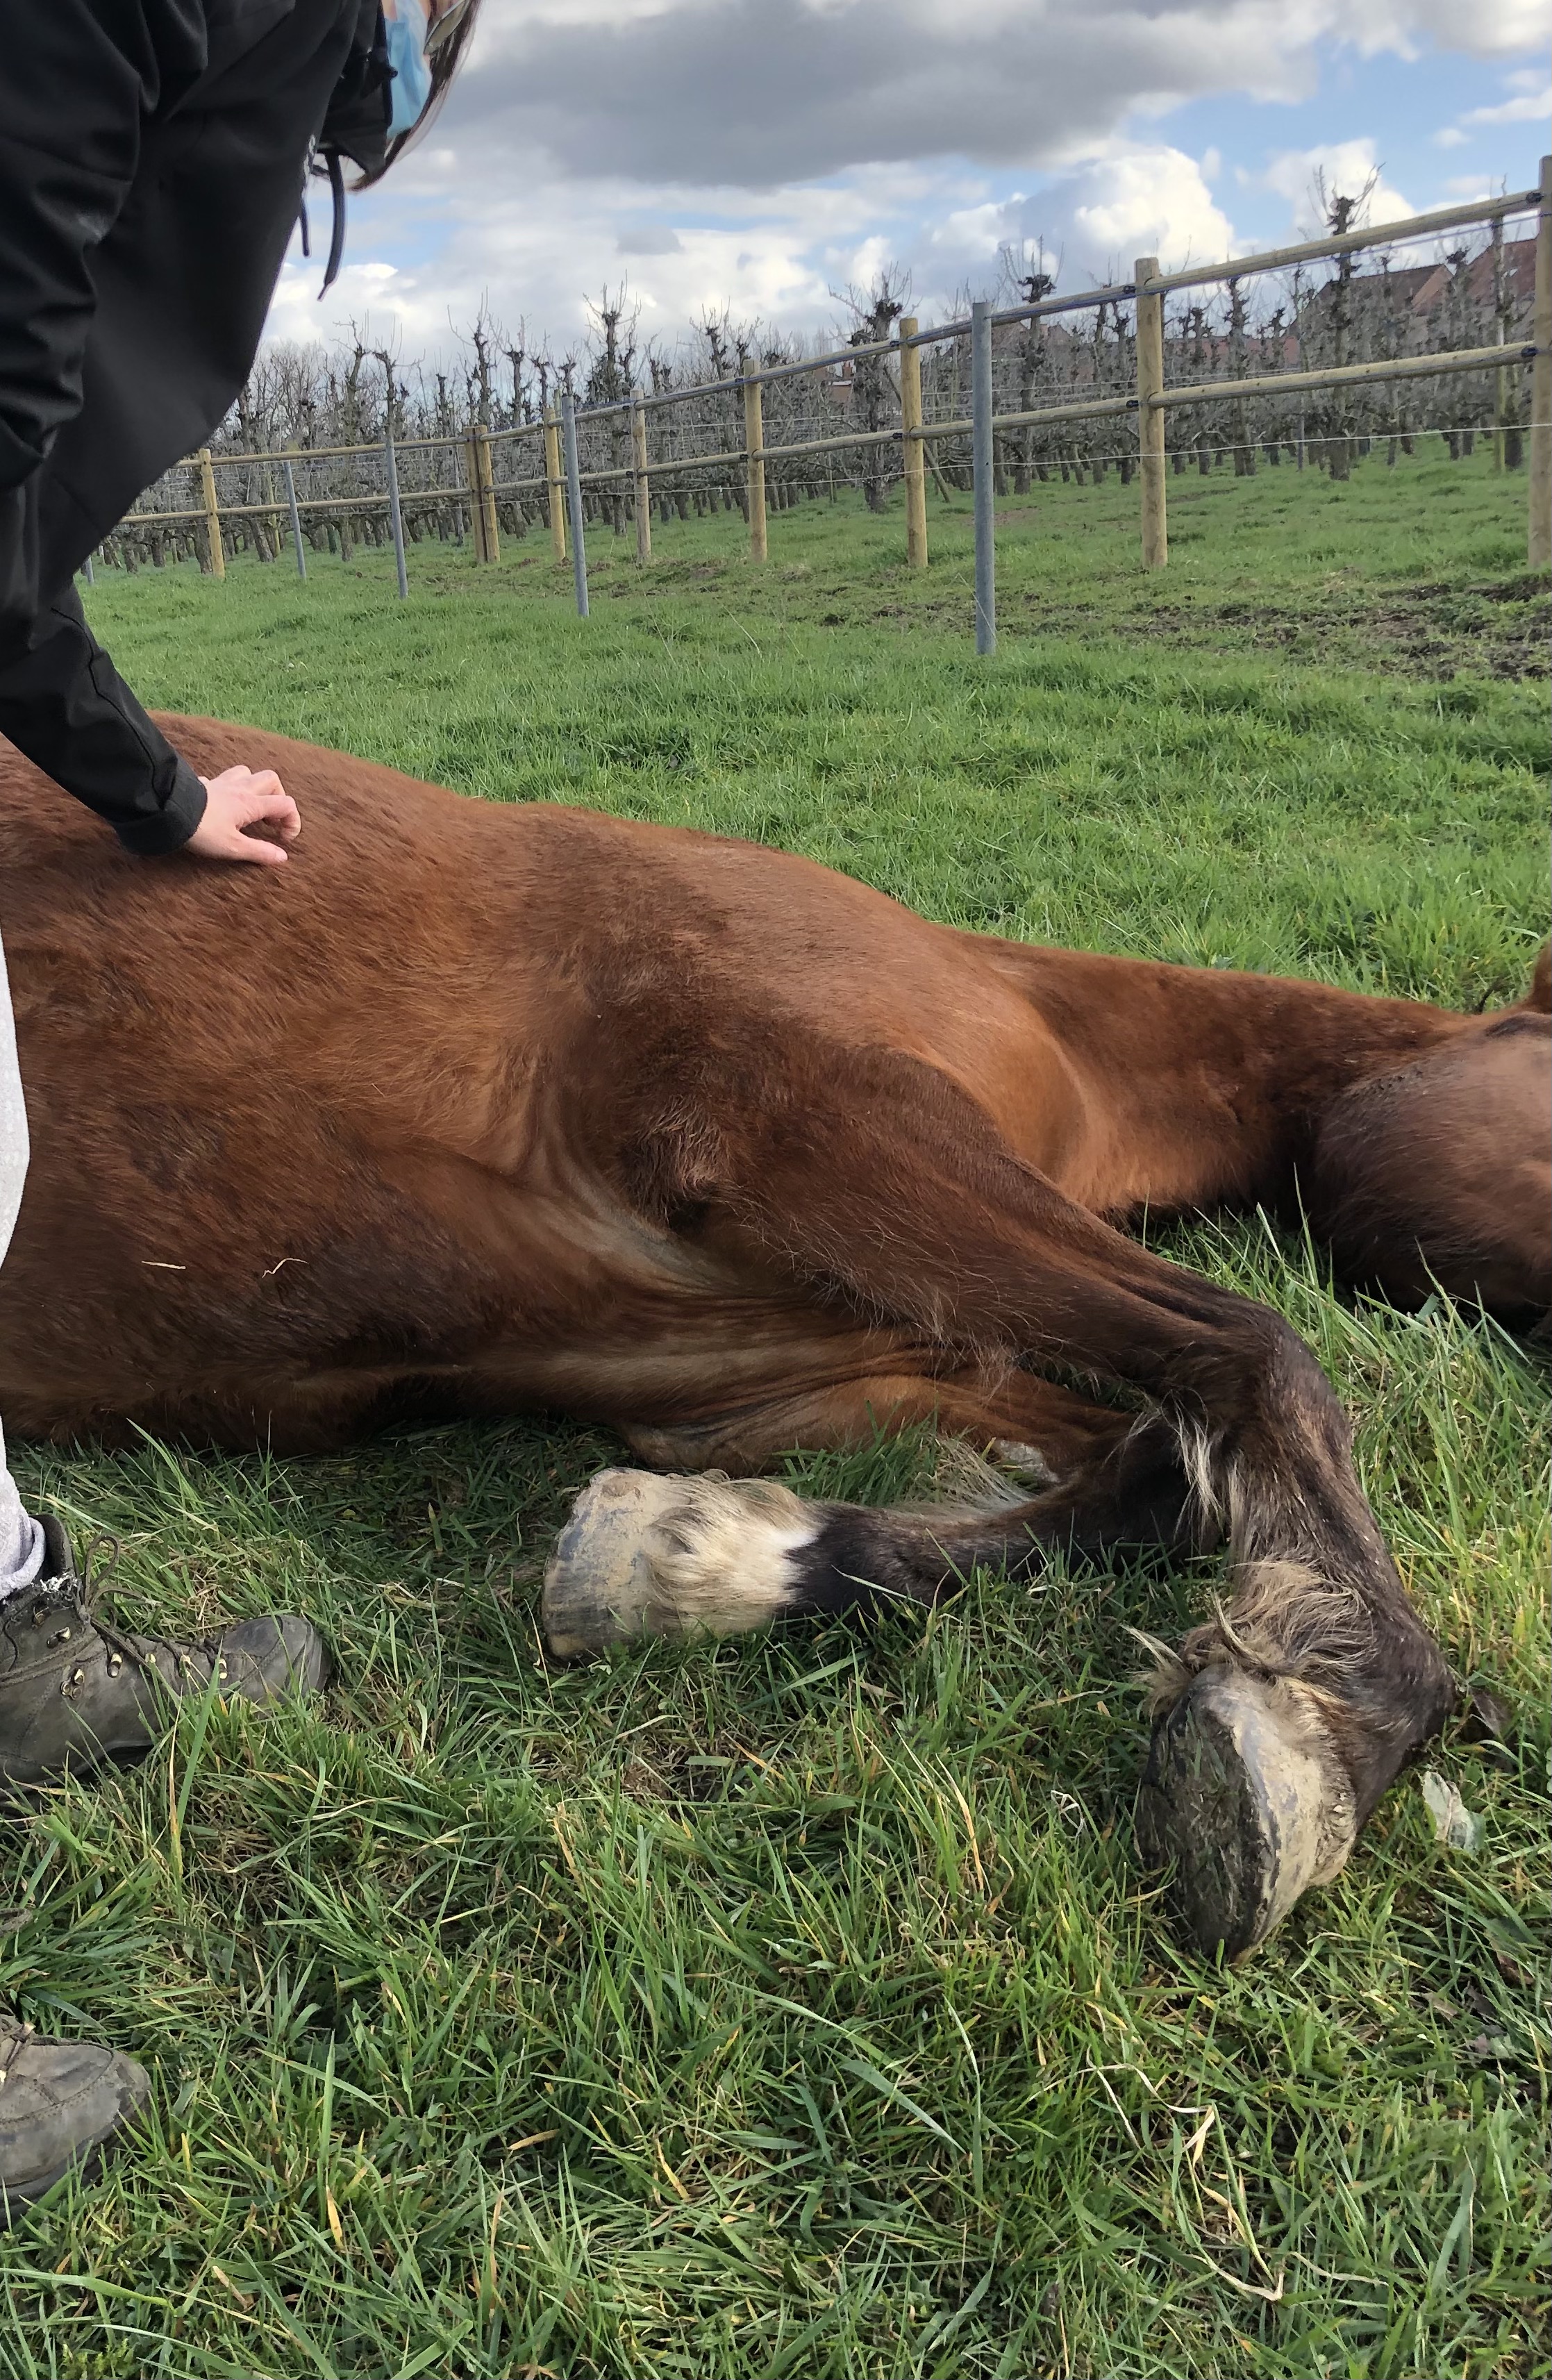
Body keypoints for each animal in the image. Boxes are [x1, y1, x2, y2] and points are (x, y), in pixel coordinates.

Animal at [2, 717, 1544, 1960]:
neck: (1029, 1013)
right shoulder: (814, 1127)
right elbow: (1253, 1356)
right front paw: (1323, 1737)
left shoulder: (768, 1378)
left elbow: (1154, 1476)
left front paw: (677, 1558)